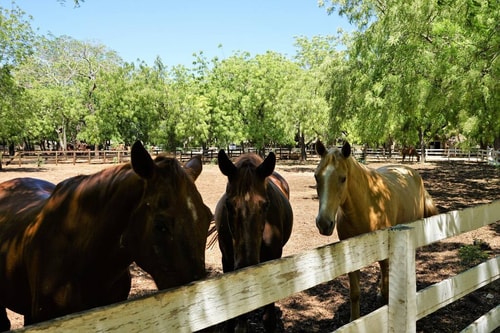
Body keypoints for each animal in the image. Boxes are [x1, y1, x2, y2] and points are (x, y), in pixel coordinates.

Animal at [316, 139, 438, 320]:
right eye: (316, 176)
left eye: (343, 178)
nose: (323, 223)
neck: (367, 207)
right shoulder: (351, 256)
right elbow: (355, 293)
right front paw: (354, 319)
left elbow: (387, 285)